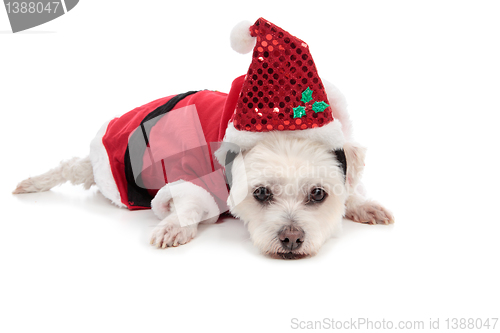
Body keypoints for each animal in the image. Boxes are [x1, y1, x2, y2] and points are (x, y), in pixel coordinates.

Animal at [12, 17, 394, 260]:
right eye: (261, 193)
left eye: (318, 194)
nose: (291, 238)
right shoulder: (190, 173)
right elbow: (189, 203)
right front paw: (175, 226)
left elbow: (351, 189)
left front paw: (362, 204)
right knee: (72, 169)